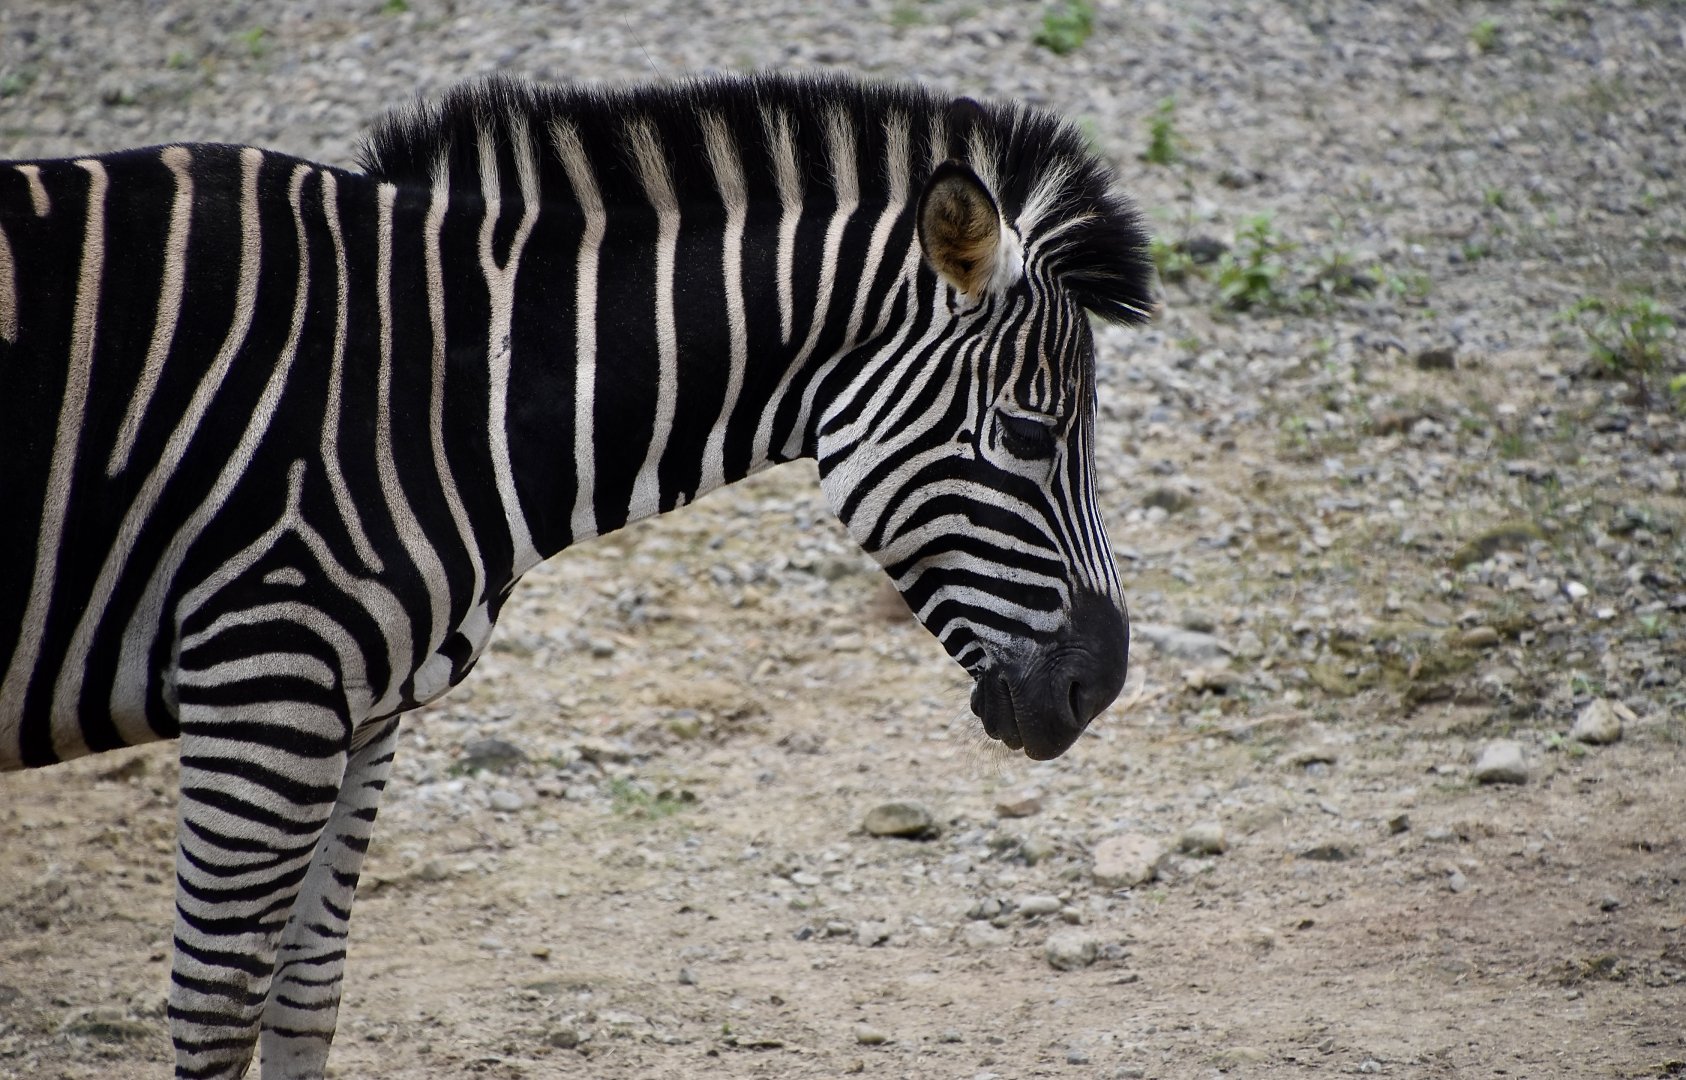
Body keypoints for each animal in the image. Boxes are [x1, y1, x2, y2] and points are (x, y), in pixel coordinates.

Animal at [0, 73, 1152, 1078]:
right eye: (1028, 433)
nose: (1101, 687)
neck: (442, 385)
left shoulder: (360, 712)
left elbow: (306, 998)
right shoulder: (264, 682)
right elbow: (219, 1009)